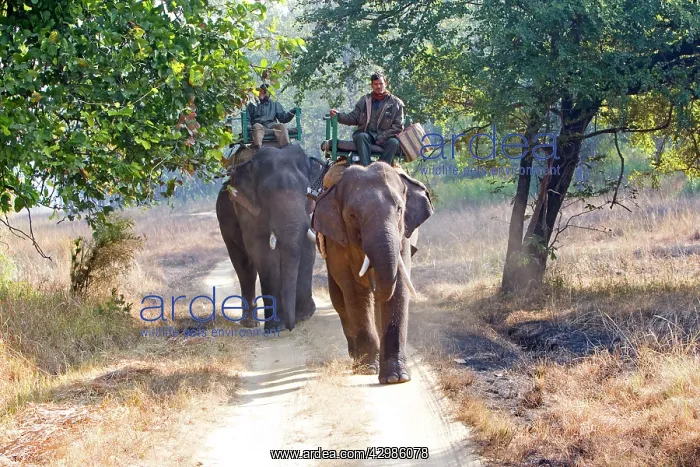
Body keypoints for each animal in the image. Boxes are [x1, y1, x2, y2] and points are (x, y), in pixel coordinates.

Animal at [216, 145, 326, 331]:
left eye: (307, 190)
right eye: (265, 193)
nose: (291, 326)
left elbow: (307, 249)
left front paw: (304, 316)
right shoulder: (247, 209)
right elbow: (264, 254)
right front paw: (276, 325)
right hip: (224, 222)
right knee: (244, 266)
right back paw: (250, 323)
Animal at [312, 162, 434, 383]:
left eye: (399, 209)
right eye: (352, 216)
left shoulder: (403, 237)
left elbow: (399, 286)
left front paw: (396, 378)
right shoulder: (337, 241)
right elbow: (355, 291)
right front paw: (367, 368)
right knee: (339, 300)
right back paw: (355, 358)